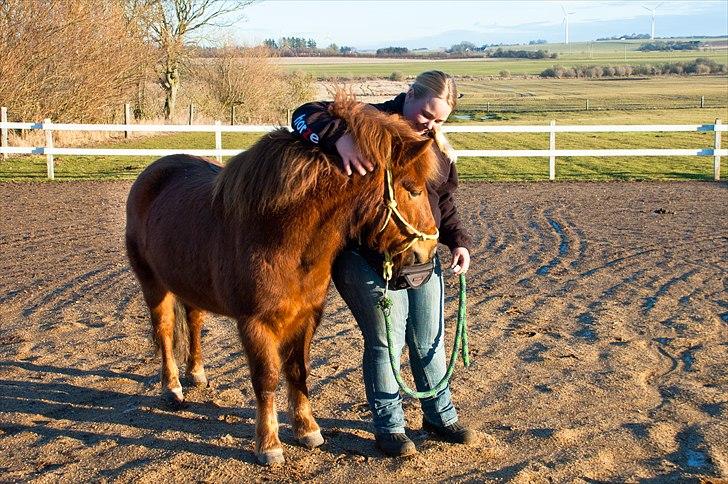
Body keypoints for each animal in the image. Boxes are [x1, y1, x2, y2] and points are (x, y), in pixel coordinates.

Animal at [125, 95, 438, 466]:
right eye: (413, 190)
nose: (429, 252)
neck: (282, 238)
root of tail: (150, 174)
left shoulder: (306, 317)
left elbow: (298, 371)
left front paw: (307, 429)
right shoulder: (254, 323)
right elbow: (267, 378)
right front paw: (269, 444)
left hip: (189, 284)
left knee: (194, 321)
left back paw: (196, 373)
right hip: (153, 284)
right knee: (165, 331)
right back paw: (172, 387)